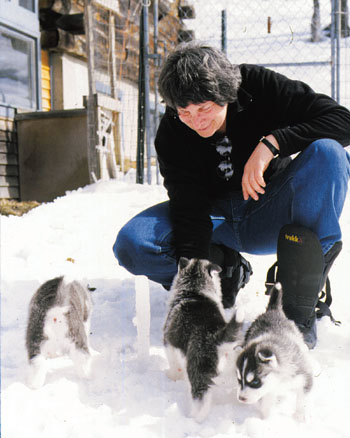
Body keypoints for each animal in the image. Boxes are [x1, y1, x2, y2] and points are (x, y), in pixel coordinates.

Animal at [163, 258, 243, 422]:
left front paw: (173, 376)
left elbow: (173, 364)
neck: (194, 290)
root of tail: (219, 337)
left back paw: (192, 419)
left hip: (197, 373)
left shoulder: (169, 341)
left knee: (201, 403)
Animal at [235, 282, 314, 420]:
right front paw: (266, 420)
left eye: (255, 382)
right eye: (239, 379)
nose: (241, 398)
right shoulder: (270, 390)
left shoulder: (304, 376)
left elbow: (301, 398)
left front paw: (299, 415)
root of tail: (273, 310)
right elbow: (267, 405)